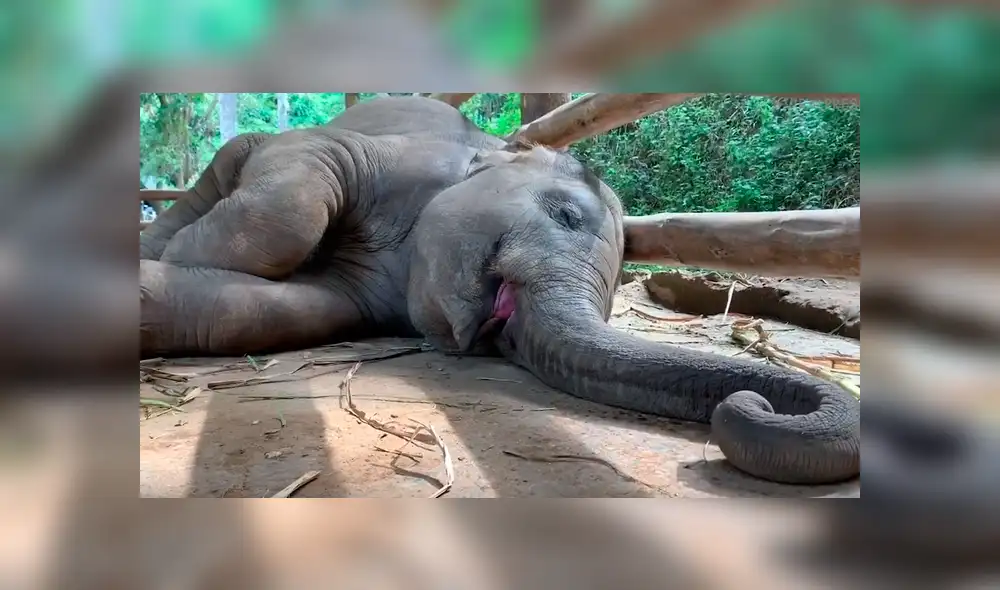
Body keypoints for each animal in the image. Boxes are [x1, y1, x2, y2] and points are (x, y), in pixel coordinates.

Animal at [140, 96, 860, 486]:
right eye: (566, 216)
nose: (753, 402)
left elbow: (269, 313)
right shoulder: (392, 154)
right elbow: (305, 179)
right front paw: (174, 256)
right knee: (240, 154)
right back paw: (161, 237)